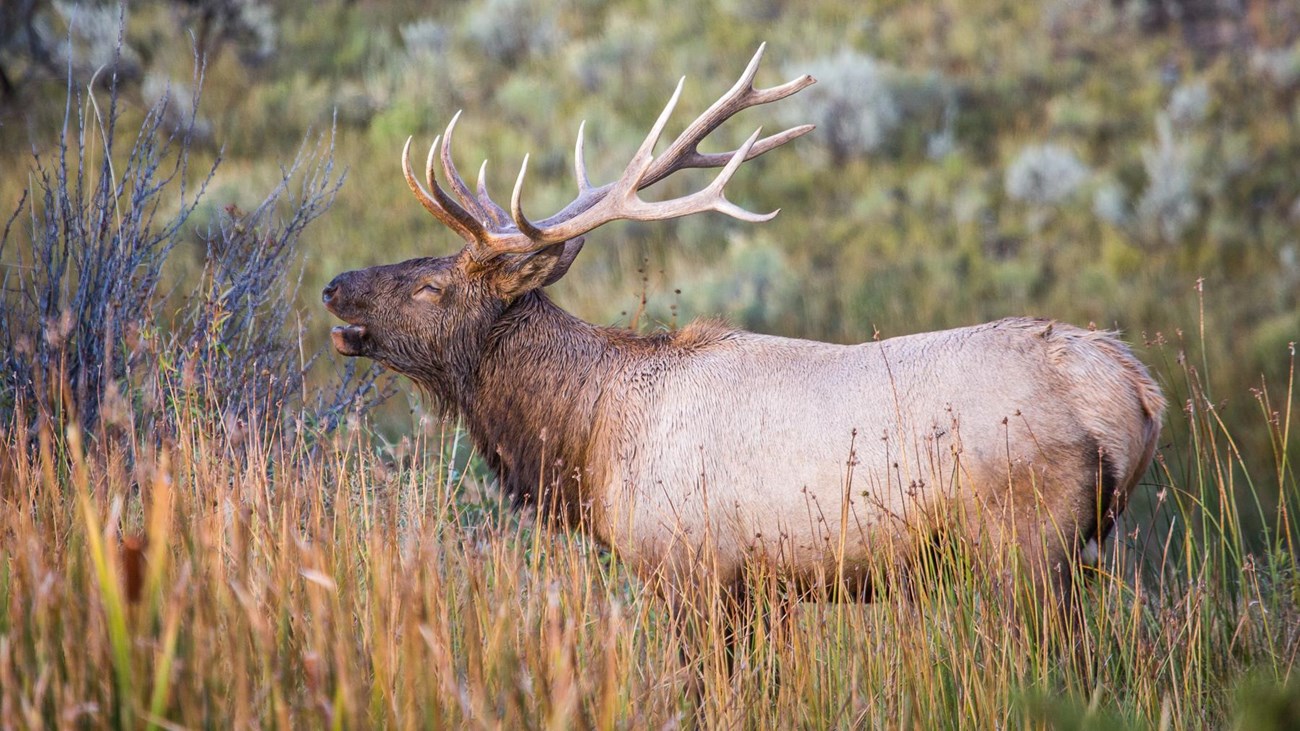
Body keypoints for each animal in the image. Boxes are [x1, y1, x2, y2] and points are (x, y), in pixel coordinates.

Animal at [327, 44, 1170, 637]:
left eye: (432, 286)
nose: (335, 285)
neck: (589, 439)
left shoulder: (689, 567)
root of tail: (1133, 388)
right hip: (1084, 548)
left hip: (1027, 543)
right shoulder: (749, 585)